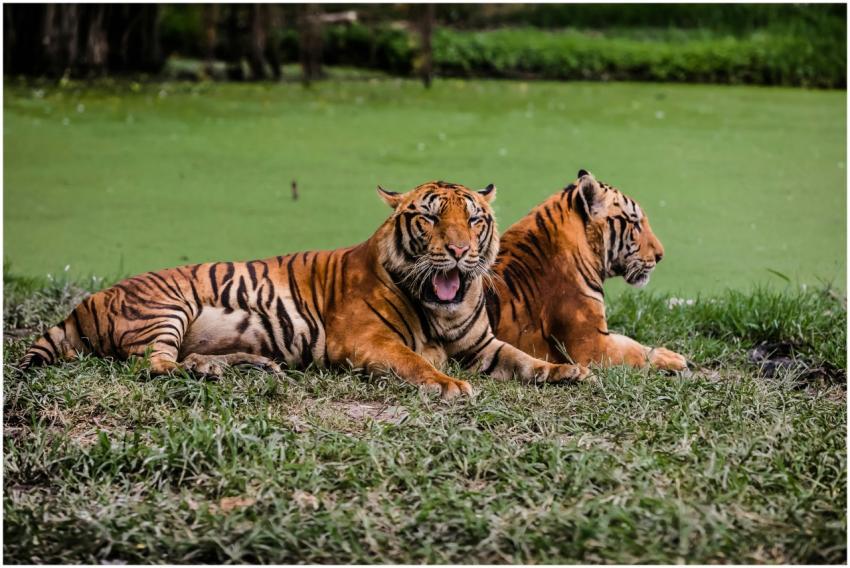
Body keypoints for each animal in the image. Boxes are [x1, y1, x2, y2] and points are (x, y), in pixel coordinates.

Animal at [19, 180, 590, 398]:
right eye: (429, 219)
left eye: (474, 220)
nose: (456, 250)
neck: (443, 309)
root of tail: (88, 299)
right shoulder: (365, 341)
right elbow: (414, 362)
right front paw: (449, 386)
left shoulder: (484, 344)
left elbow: (523, 359)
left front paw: (568, 371)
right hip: (166, 308)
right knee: (153, 365)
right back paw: (210, 370)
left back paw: (244, 366)